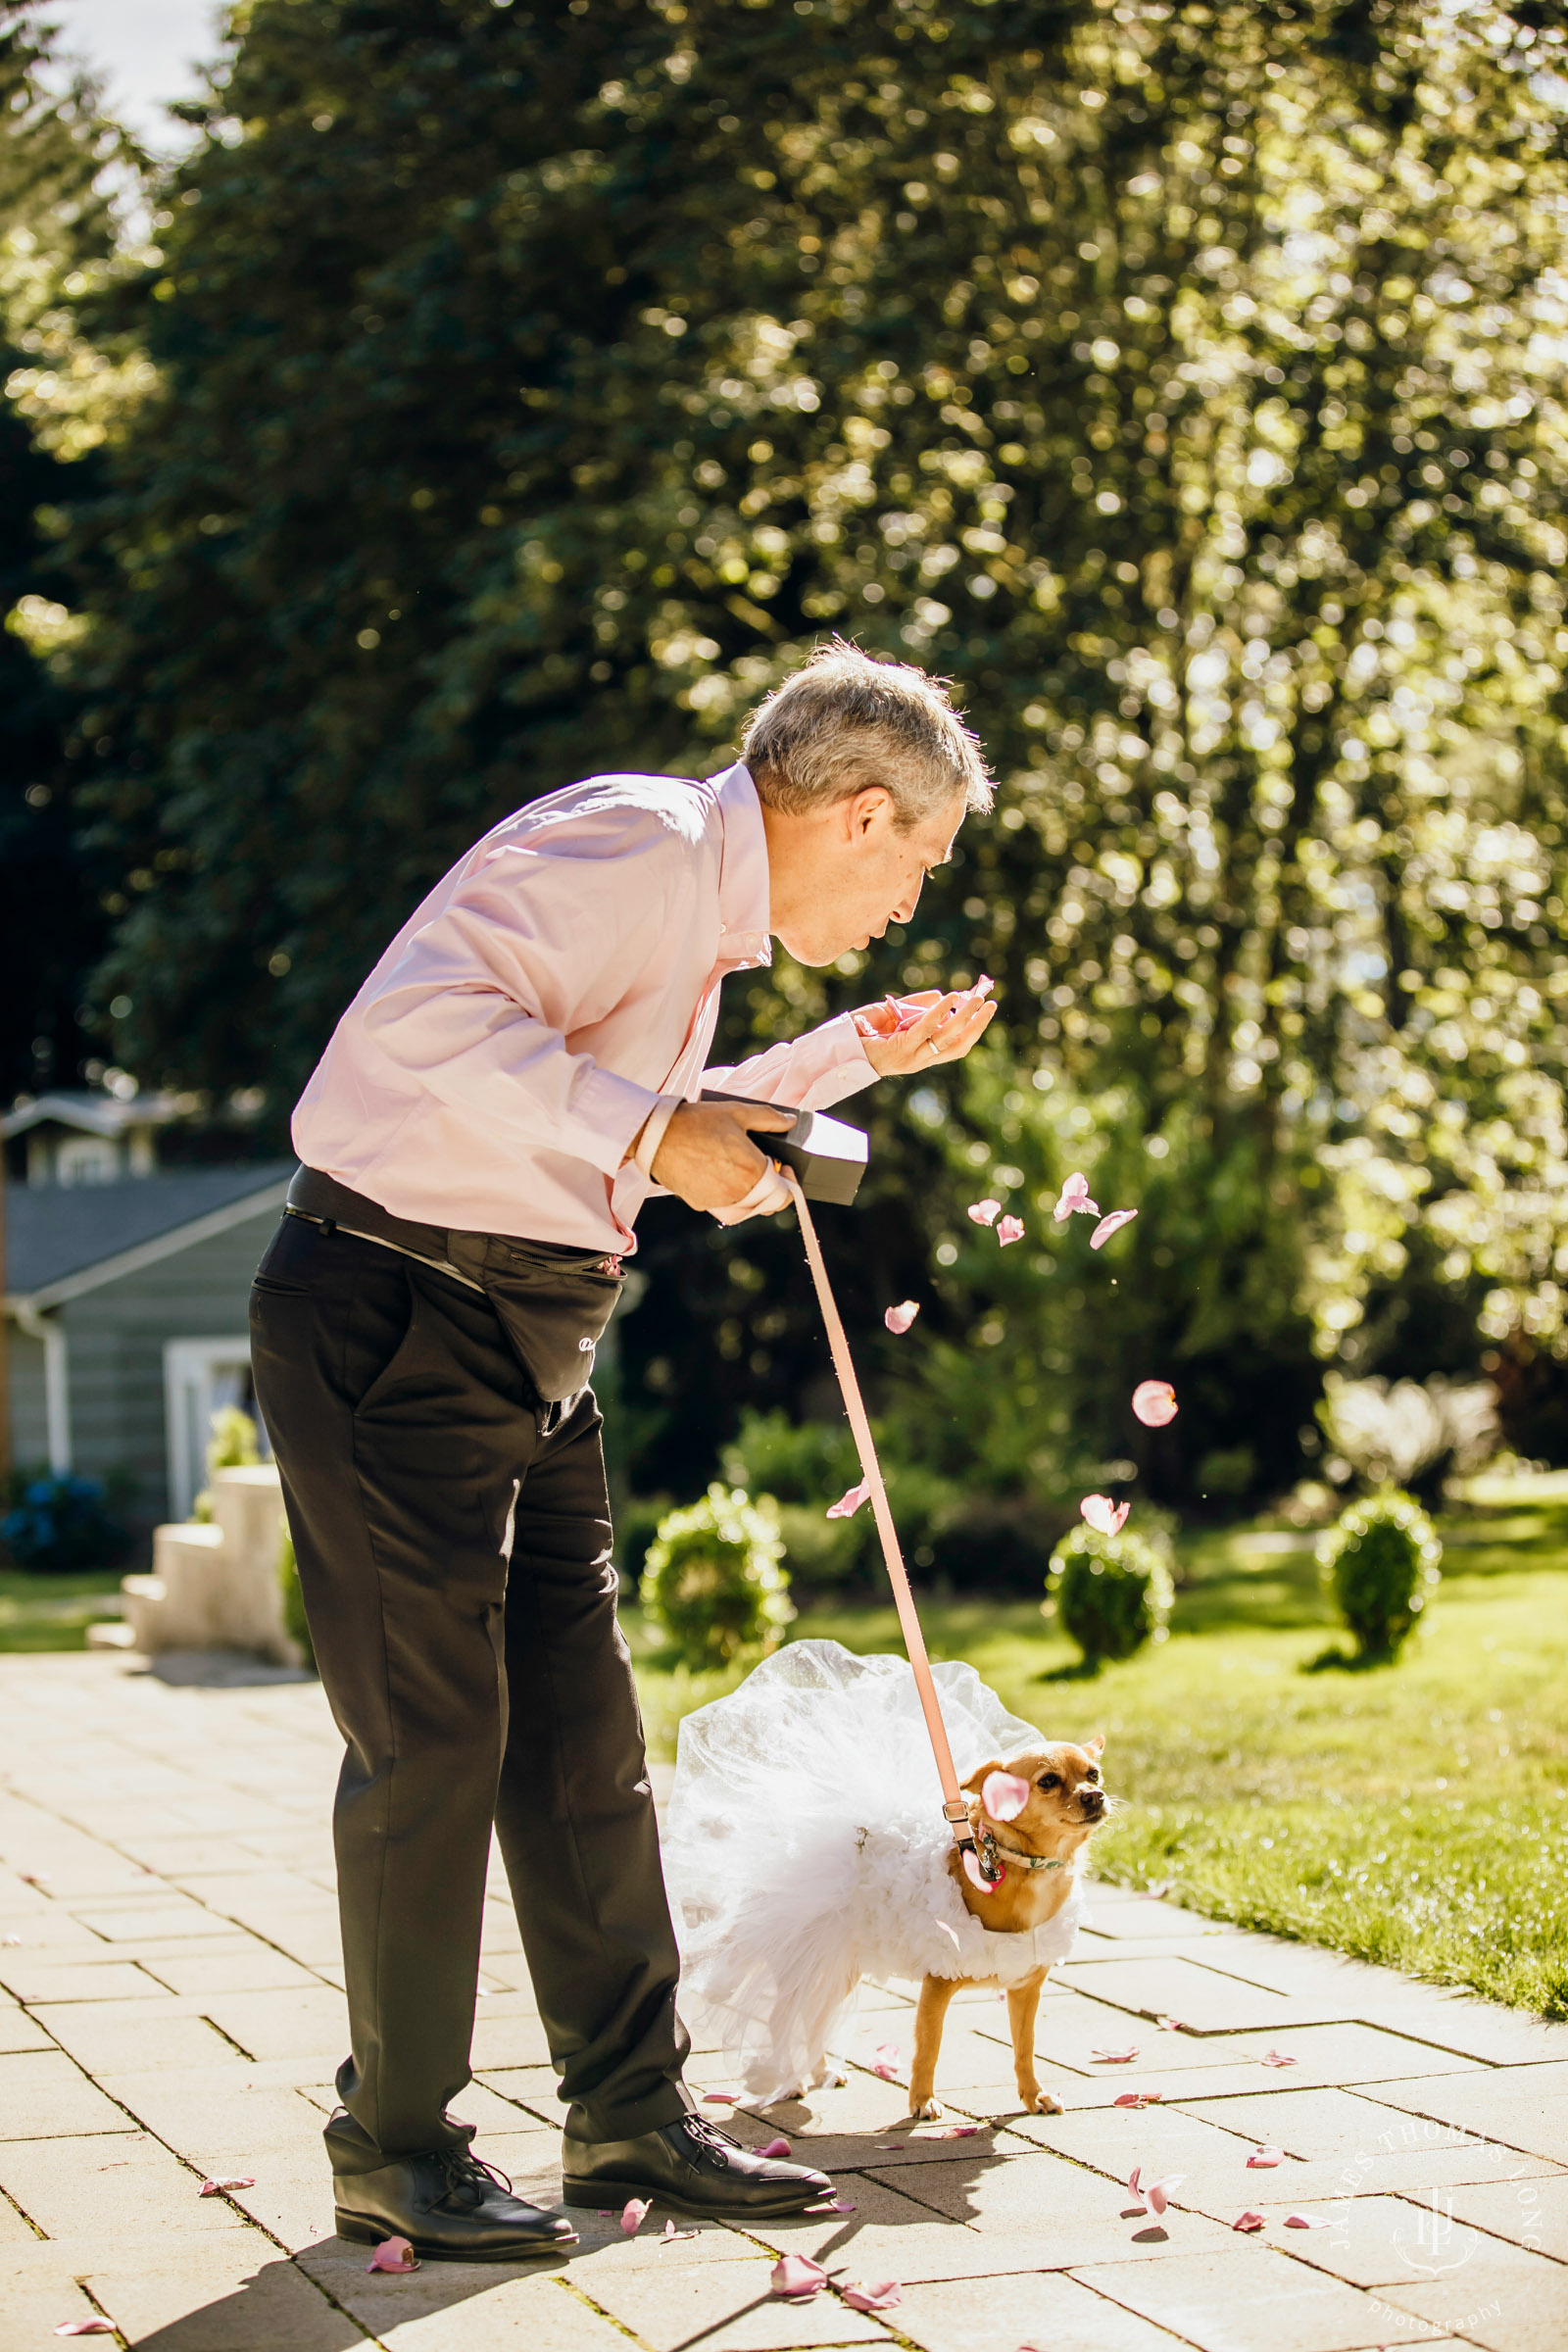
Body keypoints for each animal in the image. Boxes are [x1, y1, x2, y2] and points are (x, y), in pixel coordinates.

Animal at [903, 1731, 1109, 2135]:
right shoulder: (937, 1983)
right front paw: (922, 2100)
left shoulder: (1025, 1987)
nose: (1094, 1795)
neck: (1027, 1866)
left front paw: (1033, 2096)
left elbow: (1024, 2045)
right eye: (1048, 1780)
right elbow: (928, 2046)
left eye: (1093, 1774)